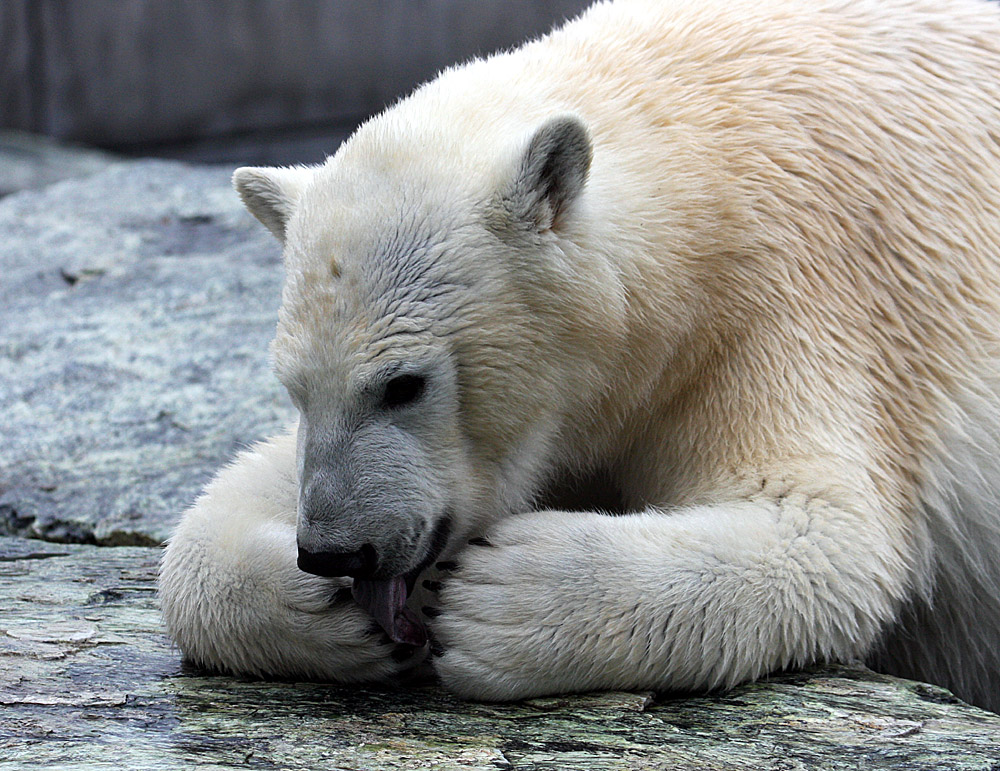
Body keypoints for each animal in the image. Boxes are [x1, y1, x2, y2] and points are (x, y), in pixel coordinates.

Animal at [158, 0, 1000, 712]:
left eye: (403, 384)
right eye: (295, 388)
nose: (336, 552)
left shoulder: (788, 304)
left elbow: (823, 533)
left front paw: (498, 598)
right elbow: (214, 521)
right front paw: (323, 612)